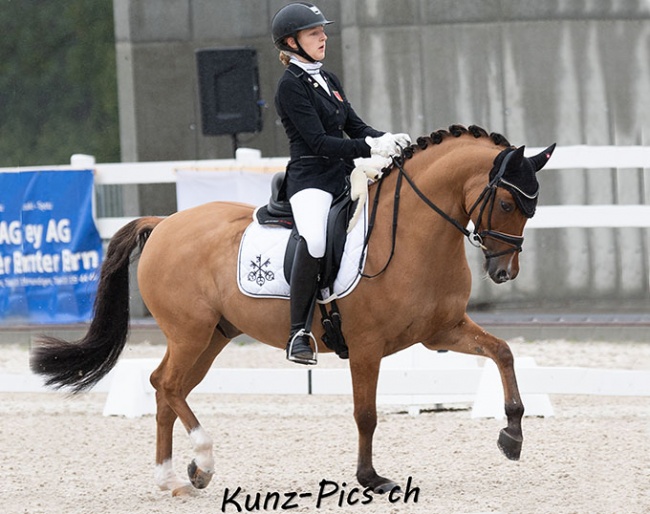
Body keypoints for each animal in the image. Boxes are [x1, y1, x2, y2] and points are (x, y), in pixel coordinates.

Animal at [30, 124, 556, 496]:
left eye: (531, 207)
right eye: (506, 202)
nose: (504, 271)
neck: (411, 233)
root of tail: (163, 224)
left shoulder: (442, 331)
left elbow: (503, 353)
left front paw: (512, 435)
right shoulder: (367, 346)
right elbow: (366, 414)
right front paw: (370, 477)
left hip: (212, 336)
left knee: (167, 389)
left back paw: (176, 478)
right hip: (190, 332)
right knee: (166, 385)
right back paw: (202, 460)